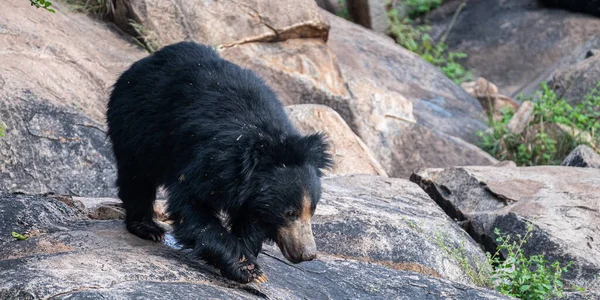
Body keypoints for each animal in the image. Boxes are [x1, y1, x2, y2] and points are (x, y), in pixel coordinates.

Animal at [106, 41, 332, 284]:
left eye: (312, 210)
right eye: (289, 213)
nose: (307, 254)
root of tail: (144, 62)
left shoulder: (252, 195)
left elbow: (251, 220)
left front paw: (248, 253)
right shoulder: (208, 162)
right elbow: (192, 206)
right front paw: (249, 269)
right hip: (137, 124)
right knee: (137, 176)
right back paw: (148, 228)